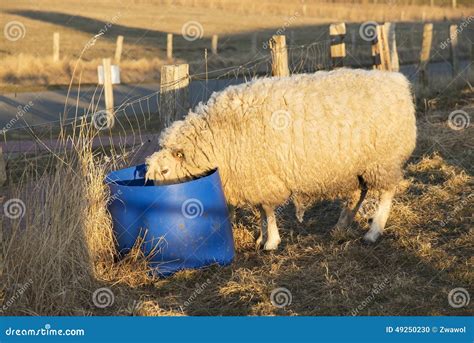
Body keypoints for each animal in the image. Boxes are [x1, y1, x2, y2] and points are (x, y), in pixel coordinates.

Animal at [146, 69, 416, 250]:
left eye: (166, 171)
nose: (160, 200)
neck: (217, 135)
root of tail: (398, 81)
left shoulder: (263, 175)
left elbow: (266, 209)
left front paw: (271, 242)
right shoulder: (254, 177)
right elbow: (260, 210)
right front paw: (260, 237)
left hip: (383, 160)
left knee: (387, 192)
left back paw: (374, 231)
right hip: (357, 165)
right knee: (358, 193)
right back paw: (341, 225)